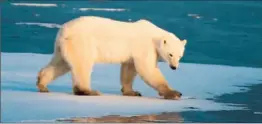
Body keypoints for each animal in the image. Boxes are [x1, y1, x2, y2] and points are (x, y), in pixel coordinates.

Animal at [36, 16, 186, 100]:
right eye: (170, 54)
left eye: (180, 55)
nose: (174, 67)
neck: (155, 35)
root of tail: (64, 30)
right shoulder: (145, 47)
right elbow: (148, 69)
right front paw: (174, 93)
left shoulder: (132, 52)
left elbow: (129, 69)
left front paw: (132, 92)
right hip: (81, 41)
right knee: (82, 64)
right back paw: (89, 91)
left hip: (63, 46)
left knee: (60, 64)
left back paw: (42, 84)